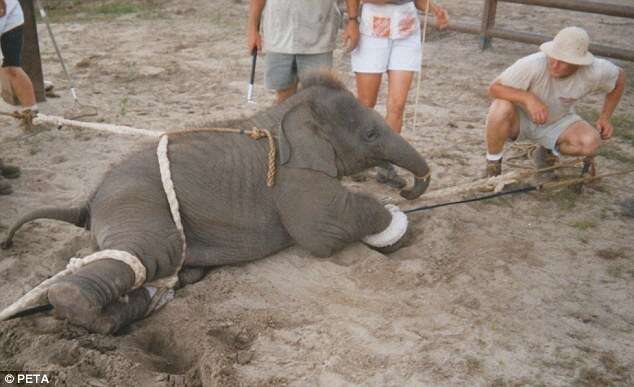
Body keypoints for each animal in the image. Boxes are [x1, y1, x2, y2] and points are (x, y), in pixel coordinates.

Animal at [1, 73, 430, 334]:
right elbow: (321, 231)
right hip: (137, 202)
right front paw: (396, 226)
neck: (286, 110)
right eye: (371, 135)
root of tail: (88, 199)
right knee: (144, 252)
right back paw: (92, 312)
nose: (408, 189)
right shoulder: (293, 175)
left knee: (169, 275)